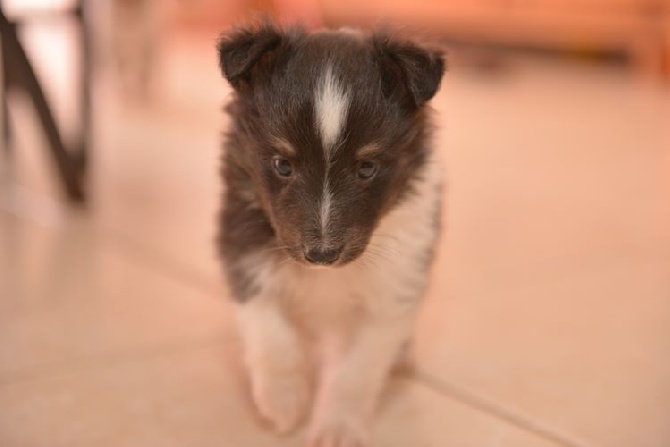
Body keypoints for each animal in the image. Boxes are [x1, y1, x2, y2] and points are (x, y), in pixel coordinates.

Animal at [217, 22, 446, 446]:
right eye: (282, 164)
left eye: (367, 167)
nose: (321, 254)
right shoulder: (244, 245)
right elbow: (269, 329)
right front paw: (283, 402)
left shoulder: (393, 288)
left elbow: (358, 369)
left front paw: (338, 428)